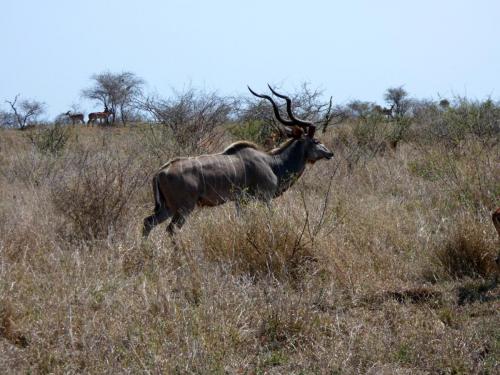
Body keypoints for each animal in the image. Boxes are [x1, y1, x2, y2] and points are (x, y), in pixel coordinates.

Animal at [143, 85, 334, 238]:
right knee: (171, 229)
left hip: (168, 207)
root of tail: (160, 172)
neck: (272, 163)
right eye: (316, 140)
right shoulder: (265, 198)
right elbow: (269, 219)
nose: (330, 153)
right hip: (184, 208)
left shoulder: (240, 201)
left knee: (147, 222)